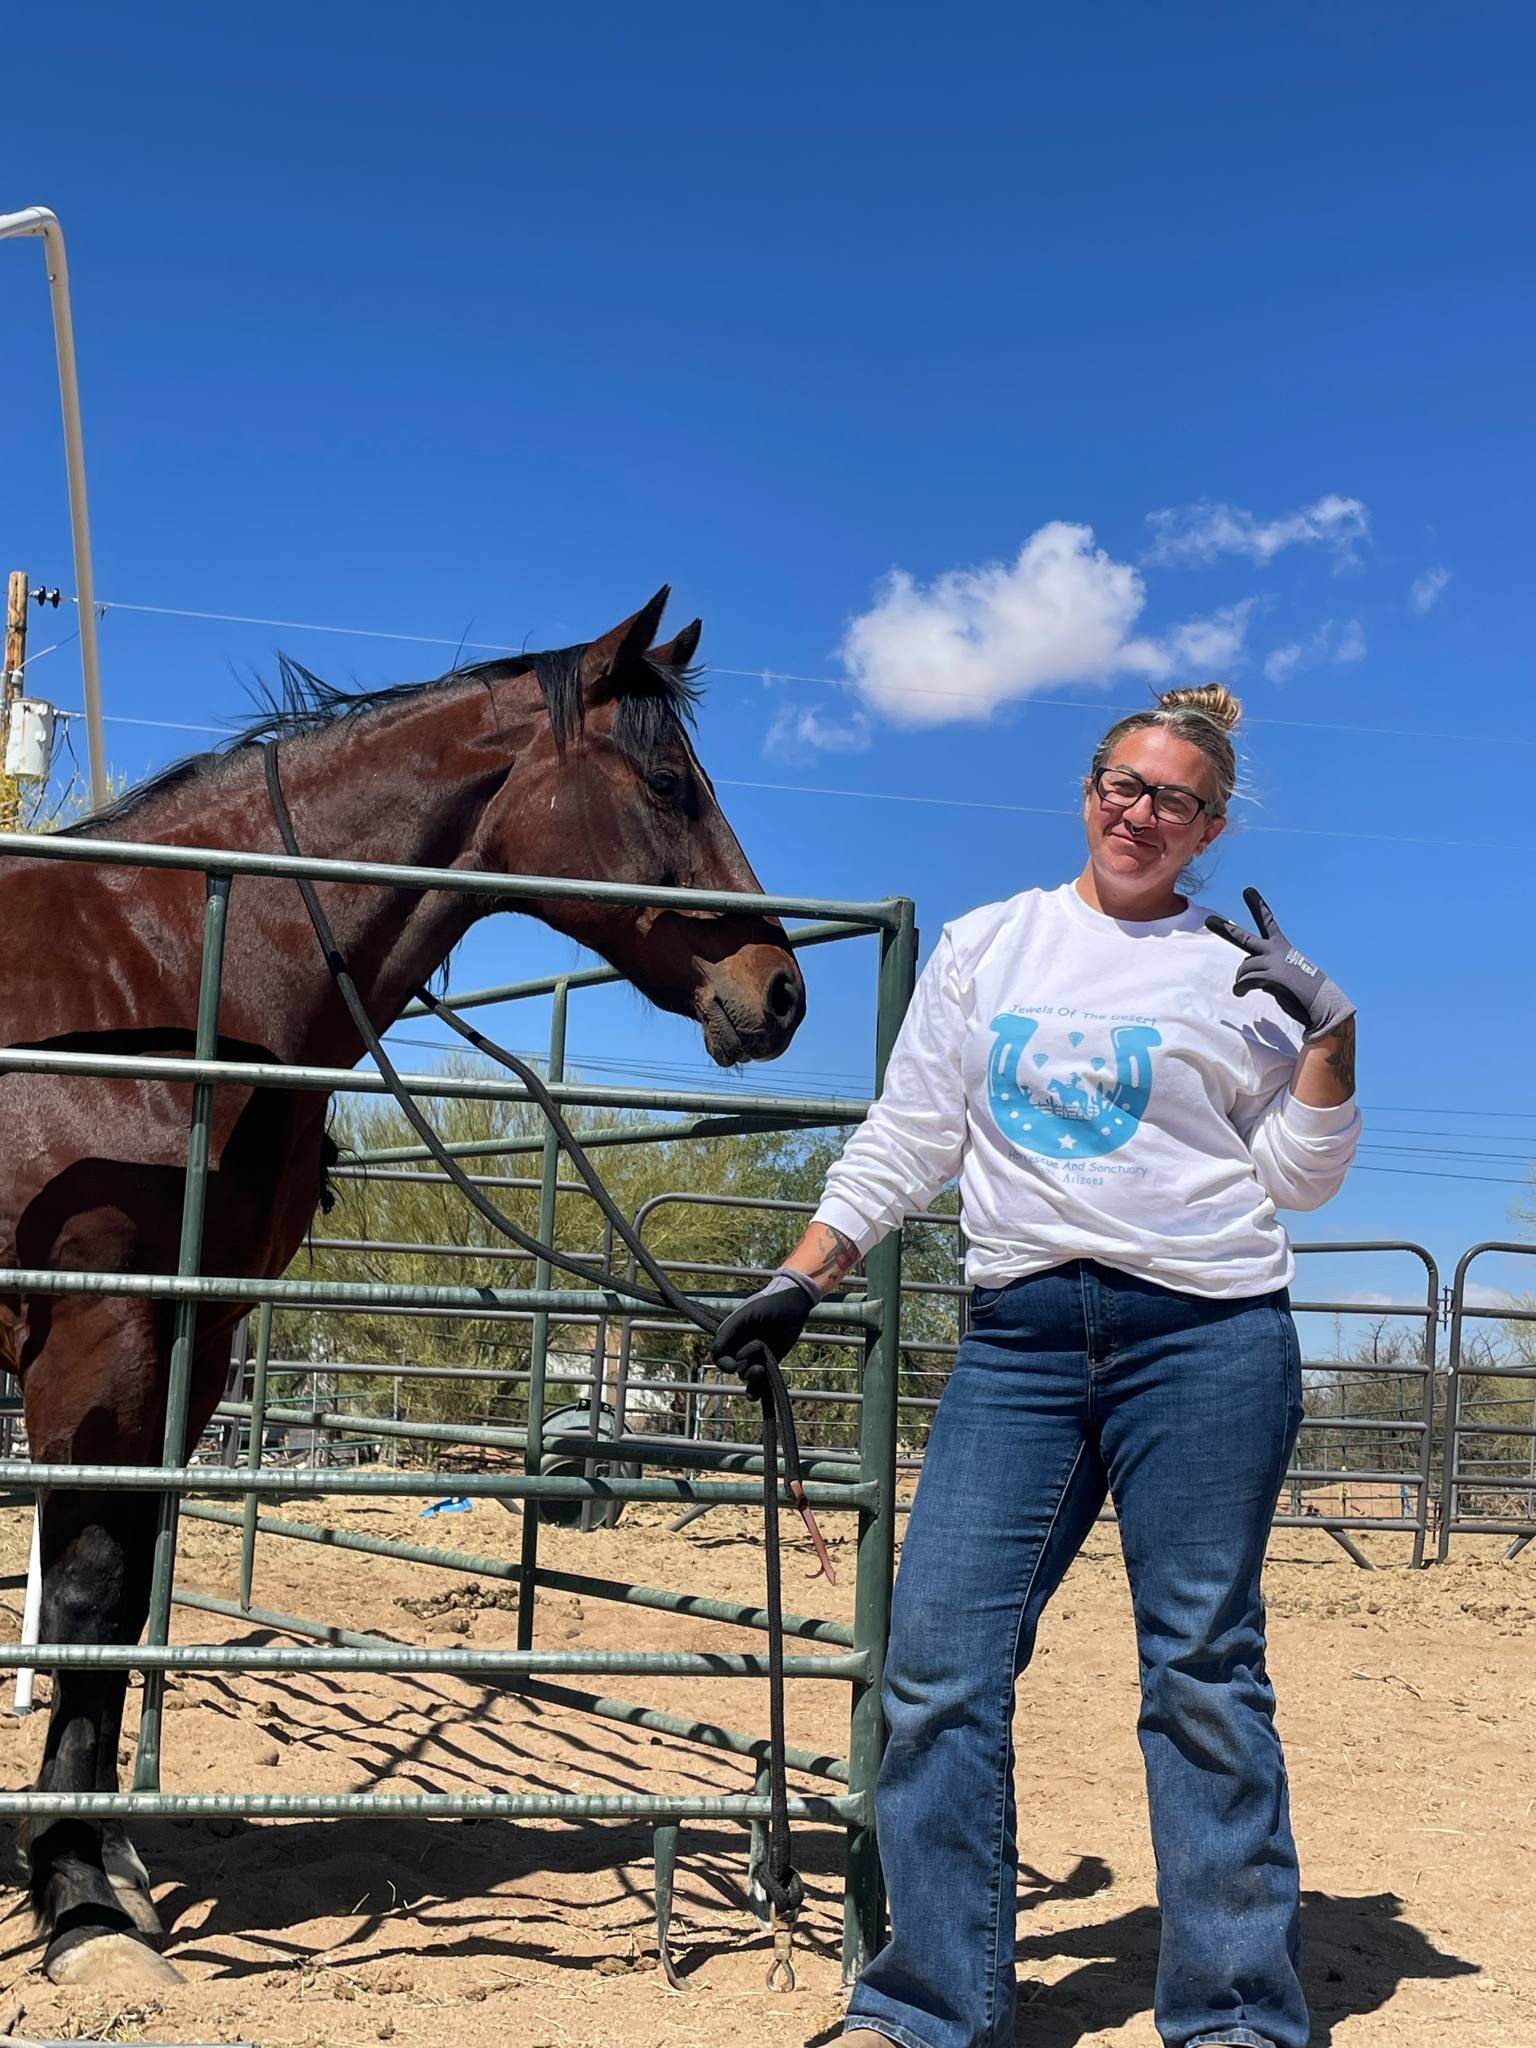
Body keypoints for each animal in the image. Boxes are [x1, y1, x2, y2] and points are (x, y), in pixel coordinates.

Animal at [0, 589, 806, 1989]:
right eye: (667, 782)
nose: (780, 990)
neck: (170, 967)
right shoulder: (96, 1335)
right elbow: (92, 1590)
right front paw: (77, 1901)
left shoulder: (193, 1338)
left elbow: (131, 1590)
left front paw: (104, 1865)